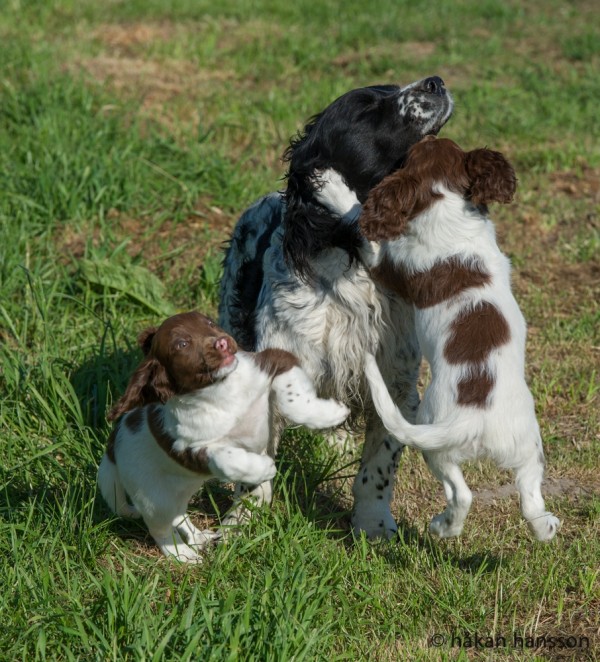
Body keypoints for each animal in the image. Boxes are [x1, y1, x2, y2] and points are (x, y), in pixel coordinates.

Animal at [97, 314, 352, 564]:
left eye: (209, 323)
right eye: (182, 344)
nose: (222, 342)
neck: (222, 390)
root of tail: (113, 444)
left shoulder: (276, 360)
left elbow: (292, 397)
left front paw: (328, 414)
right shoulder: (187, 447)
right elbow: (224, 457)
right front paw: (262, 468)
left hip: (177, 490)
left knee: (178, 515)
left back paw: (198, 538)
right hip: (153, 498)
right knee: (161, 529)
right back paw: (182, 554)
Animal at [218, 75, 452, 540]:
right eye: (366, 109)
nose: (436, 81)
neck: (352, 268)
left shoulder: (395, 386)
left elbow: (378, 467)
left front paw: (373, 525)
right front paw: (241, 524)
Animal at [360, 137, 564, 544]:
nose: (425, 137)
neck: (444, 203)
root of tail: (473, 421)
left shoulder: (389, 268)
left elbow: (370, 248)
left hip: (436, 446)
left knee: (462, 494)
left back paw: (442, 526)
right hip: (526, 443)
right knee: (528, 498)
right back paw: (545, 527)